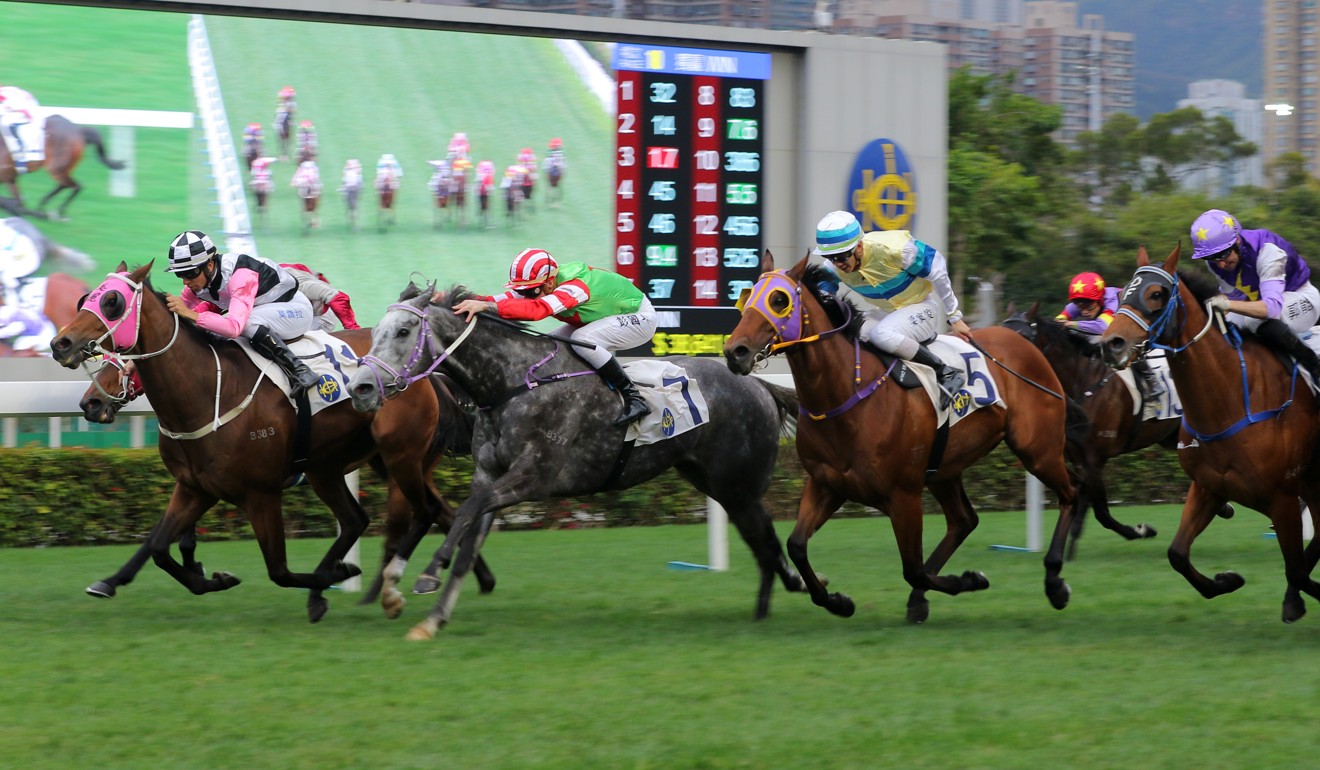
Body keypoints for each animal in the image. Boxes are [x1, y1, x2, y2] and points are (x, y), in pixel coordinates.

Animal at [48, 261, 496, 623]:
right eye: (85, 299)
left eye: (111, 302)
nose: (60, 344)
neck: (208, 391)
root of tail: (427, 371)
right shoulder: (195, 487)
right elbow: (159, 545)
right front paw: (204, 578)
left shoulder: (261, 493)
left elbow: (278, 571)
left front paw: (337, 576)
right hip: (343, 466)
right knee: (385, 516)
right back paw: (471, 578)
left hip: (398, 456)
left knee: (417, 512)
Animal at [348, 280, 802, 641]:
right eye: (378, 332)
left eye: (403, 331)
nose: (360, 387)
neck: (513, 382)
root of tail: (760, 385)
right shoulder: (488, 476)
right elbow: (467, 542)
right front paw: (428, 616)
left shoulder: (533, 477)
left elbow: (464, 513)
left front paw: (421, 576)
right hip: (719, 485)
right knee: (763, 544)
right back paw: (772, 604)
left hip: (737, 485)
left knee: (767, 542)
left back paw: (796, 592)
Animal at [723, 253, 1082, 626]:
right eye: (746, 297)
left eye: (779, 300)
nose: (735, 351)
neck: (847, 396)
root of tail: (1024, 343)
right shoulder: (826, 485)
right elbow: (796, 545)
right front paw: (838, 601)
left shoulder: (903, 495)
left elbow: (913, 568)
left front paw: (970, 579)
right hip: (945, 468)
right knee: (963, 521)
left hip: (1037, 449)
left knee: (1072, 493)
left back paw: (1055, 581)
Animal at [1098, 244, 1320, 623]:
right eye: (1124, 291)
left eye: (1156, 294)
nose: (1111, 343)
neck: (1232, 399)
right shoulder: (1208, 487)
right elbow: (1177, 554)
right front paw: (1227, 580)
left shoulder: (1283, 498)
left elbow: (1296, 570)